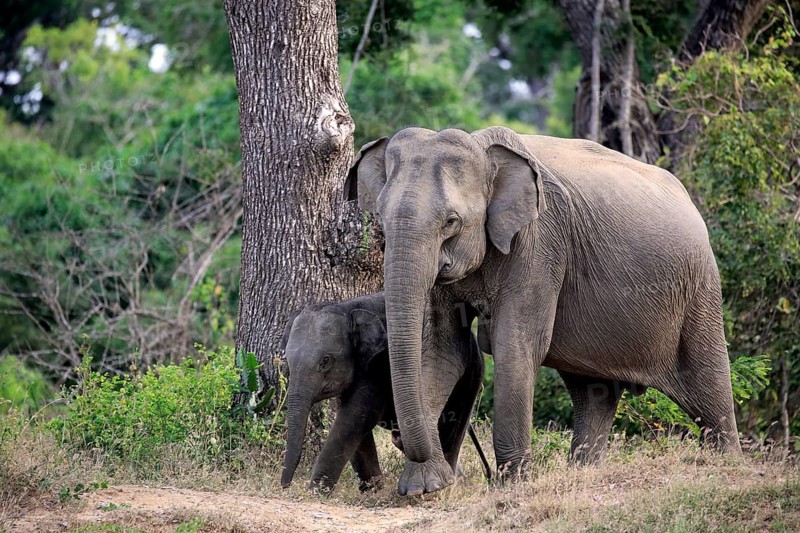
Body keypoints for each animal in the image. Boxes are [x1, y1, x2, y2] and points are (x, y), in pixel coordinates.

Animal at [279, 292, 489, 493]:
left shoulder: (379, 364)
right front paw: (373, 490)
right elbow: (354, 421)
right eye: (286, 359)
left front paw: (316, 492)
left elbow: (355, 417)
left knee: (454, 425)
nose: (285, 486)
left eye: (325, 360)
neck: (348, 308)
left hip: (470, 375)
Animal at [345, 125, 741, 496]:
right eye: (379, 220)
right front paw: (422, 488)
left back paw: (725, 466)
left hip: (700, 289)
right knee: (594, 393)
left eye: (451, 222)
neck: (483, 149)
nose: (397, 435)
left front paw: (511, 486)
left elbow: (515, 346)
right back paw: (583, 474)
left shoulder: (539, 243)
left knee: (708, 386)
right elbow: (442, 350)